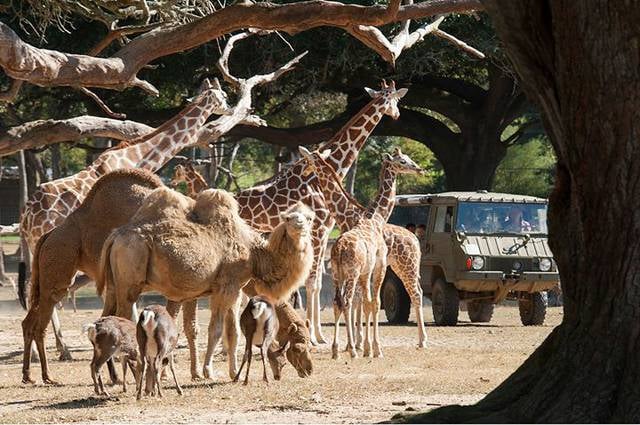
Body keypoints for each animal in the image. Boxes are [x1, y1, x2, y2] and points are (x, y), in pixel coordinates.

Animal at [16, 78, 231, 360]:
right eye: (223, 96)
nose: (231, 108)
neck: (136, 157)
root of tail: (26, 215)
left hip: (33, 245)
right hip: (43, 242)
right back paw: (62, 350)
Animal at [21, 169, 164, 384]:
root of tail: (47, 236)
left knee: (29, 322)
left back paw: (29, 375)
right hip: (58, 270)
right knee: (40, 325)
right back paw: (48, 376)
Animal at [99, 188, 316, 378]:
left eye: (309, 217)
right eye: (299, 345)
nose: (308, 369)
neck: (254, 254)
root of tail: (115, 236)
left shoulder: (234, 289)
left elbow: (233, 331)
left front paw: (232, 373)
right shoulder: (226, 287)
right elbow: (217, 330)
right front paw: (208, 371)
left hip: (114, 284)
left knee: (105, 317)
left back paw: (111, 378)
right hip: (130, 277)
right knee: (122, 317)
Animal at [236, 82, 410, 344]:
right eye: (393, 100)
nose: (398, 115)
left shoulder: (326, 230)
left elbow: (317, 281)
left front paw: (318, 335)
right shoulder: (317, 230)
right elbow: (312, 282)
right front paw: (313, 335)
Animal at [302, 146, 430, 348]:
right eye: (402, 160)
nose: (419, 169)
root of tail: (415, 240)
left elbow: (360, 301)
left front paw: (359, 340)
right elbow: (360, 300)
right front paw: (358, 340)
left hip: (407, 266)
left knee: (416, 293)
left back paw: (422, 340)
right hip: (401, 266)